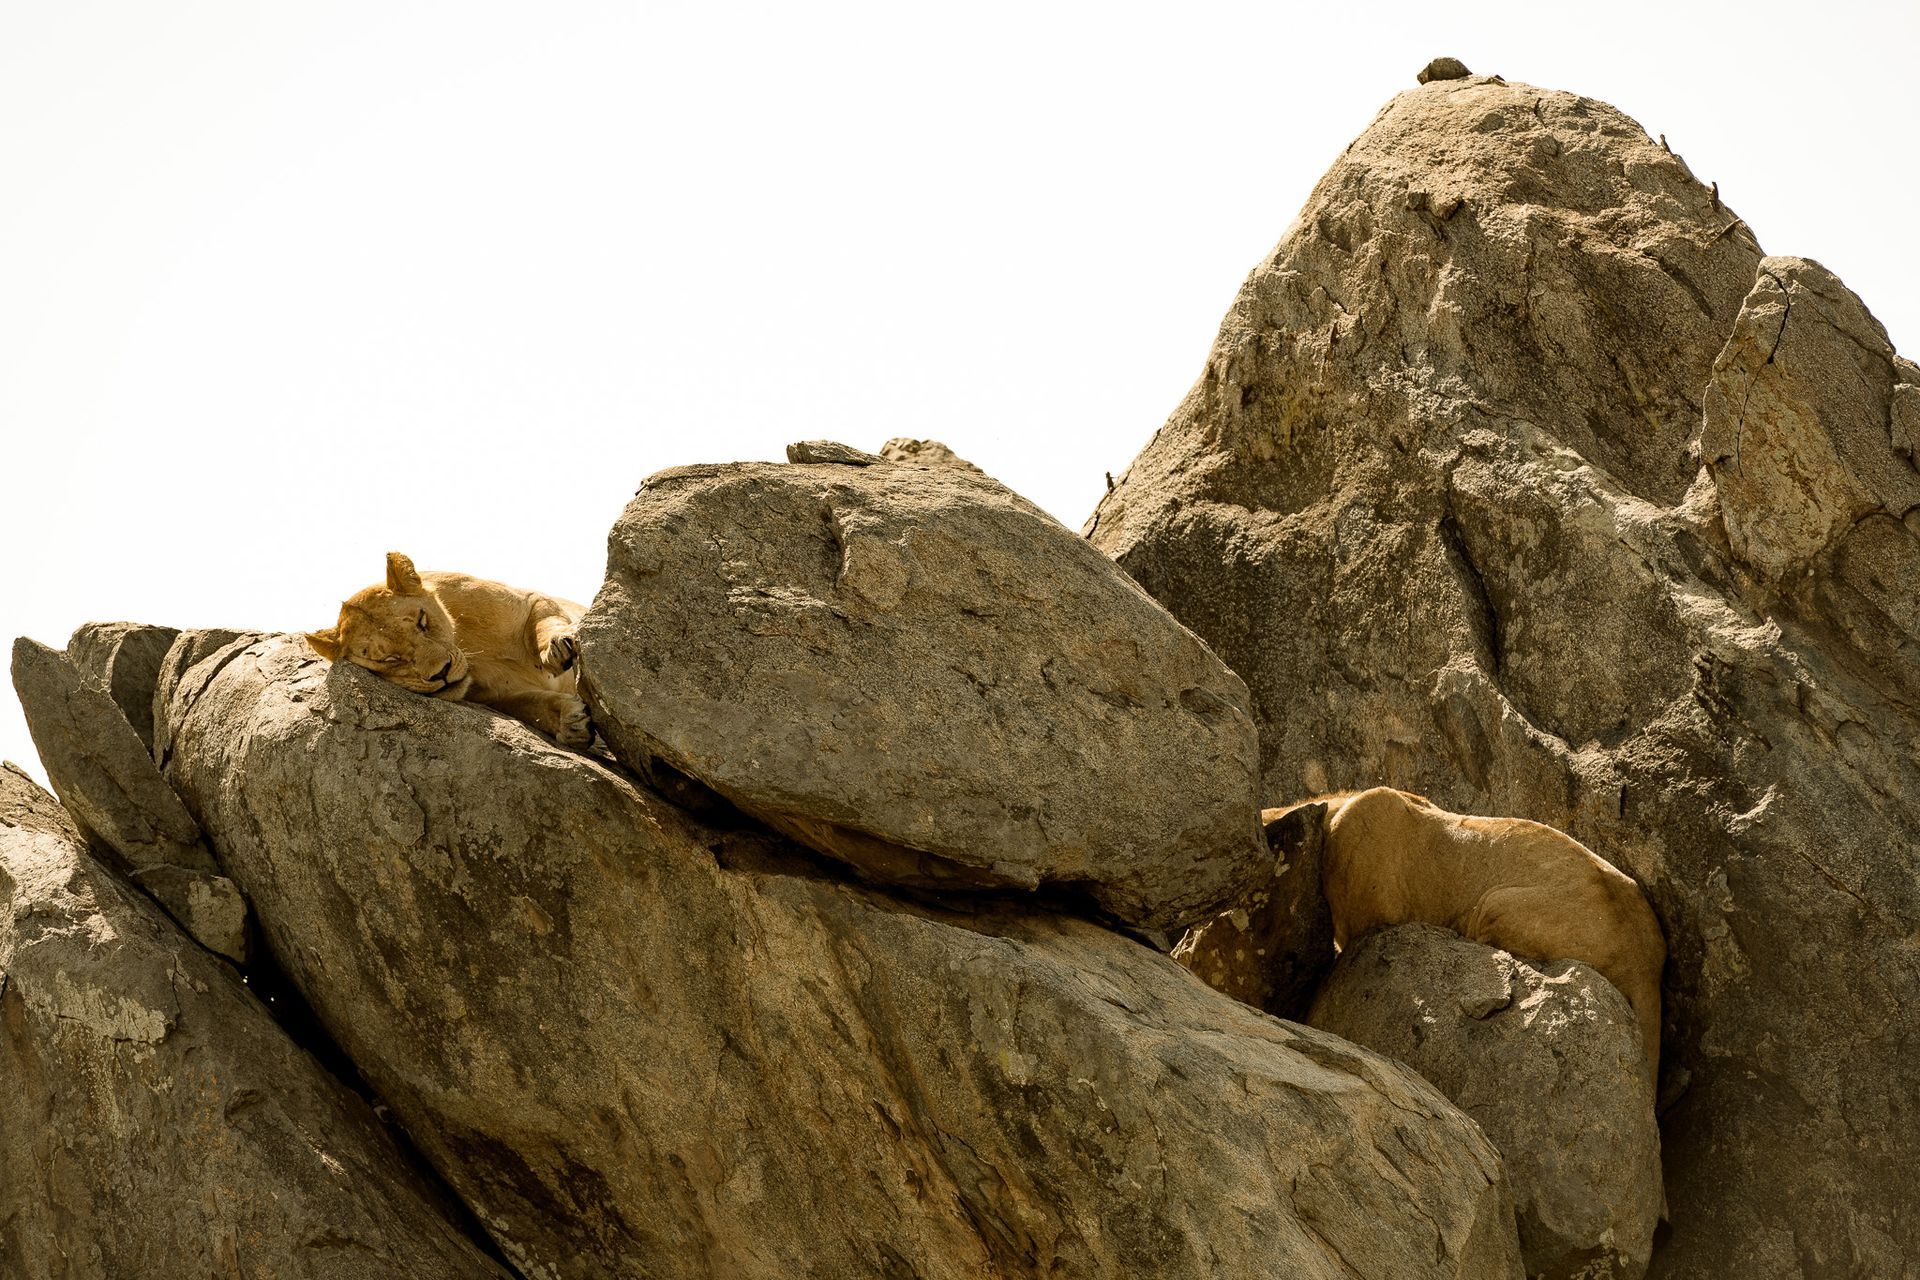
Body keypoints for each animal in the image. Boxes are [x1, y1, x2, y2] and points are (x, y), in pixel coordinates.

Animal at [305, 552, 593, 746]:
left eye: (422, 621)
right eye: (389, 659)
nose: (441, 672)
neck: (466, 644)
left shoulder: (532, 600)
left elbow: (545, 623)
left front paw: (559, 645)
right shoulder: (498, 697)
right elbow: (532, 706)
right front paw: (570, 722)